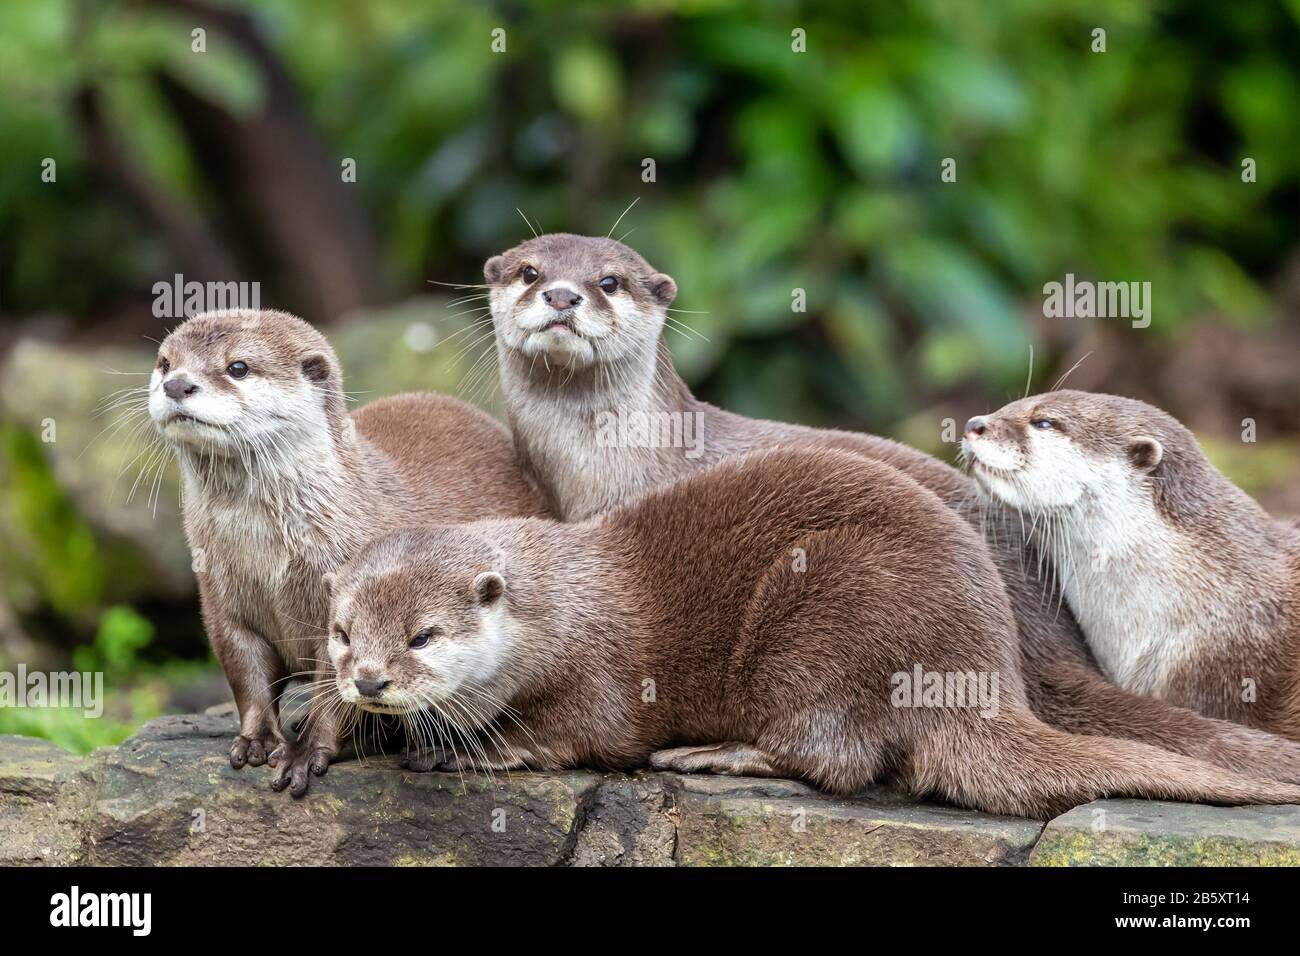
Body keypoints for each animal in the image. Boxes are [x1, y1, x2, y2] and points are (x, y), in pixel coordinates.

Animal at [148, 310, 548, 775]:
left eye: (238, 367)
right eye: (165, 362)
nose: (177, 384)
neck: (268, 558)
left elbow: (338, 684)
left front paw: (305, 753)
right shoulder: (220, 596)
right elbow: (246, 673)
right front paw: (257, 739)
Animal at [276, 447, 1300, 816]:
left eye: (423, 636)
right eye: (342, 634)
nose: (369, 680)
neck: (560, 607)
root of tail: (981, 672)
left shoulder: (596, 672)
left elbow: (580, 735)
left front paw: (472, 749)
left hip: (825, 624)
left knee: (839, 760)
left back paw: (719, 755)